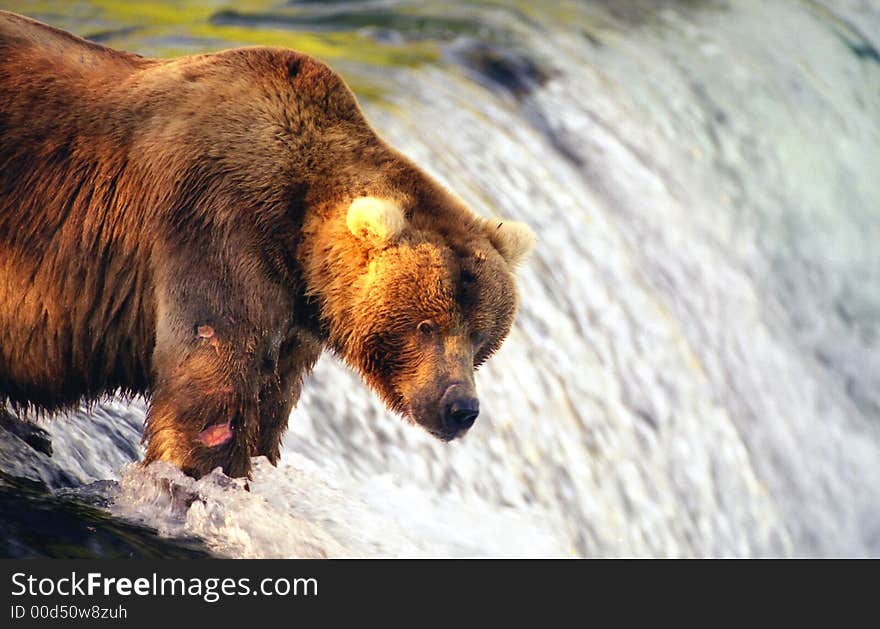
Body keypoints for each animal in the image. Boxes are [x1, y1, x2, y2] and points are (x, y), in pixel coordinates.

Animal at [0, 11, 532, 476]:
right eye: (425, 325)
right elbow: (210, 389)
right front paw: (200, 481)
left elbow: (271, 401)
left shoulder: (293, 316)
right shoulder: (213, 229)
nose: (460, 406)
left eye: (481, 338)